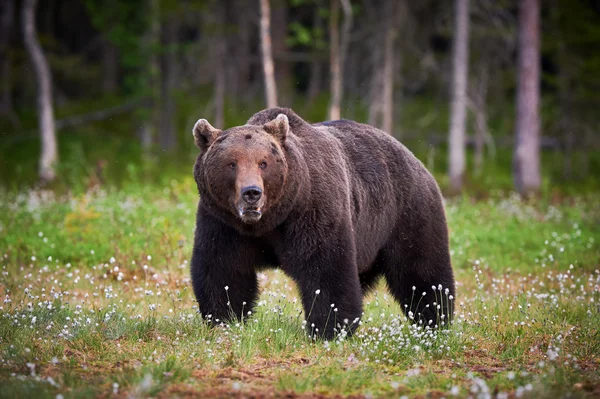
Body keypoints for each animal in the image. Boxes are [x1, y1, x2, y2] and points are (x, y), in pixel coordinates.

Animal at [192, 108, 454, 340]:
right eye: (232, 163)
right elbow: (223, 269)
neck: (270, 220)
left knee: (421, 272)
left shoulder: (313, 210)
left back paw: (435, 321)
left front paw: (327, 328)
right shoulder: (223, 222)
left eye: (263, 163)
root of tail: (416, 159)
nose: (252, 193)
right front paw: (225, 318)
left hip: (407, 214)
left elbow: (326, 269)